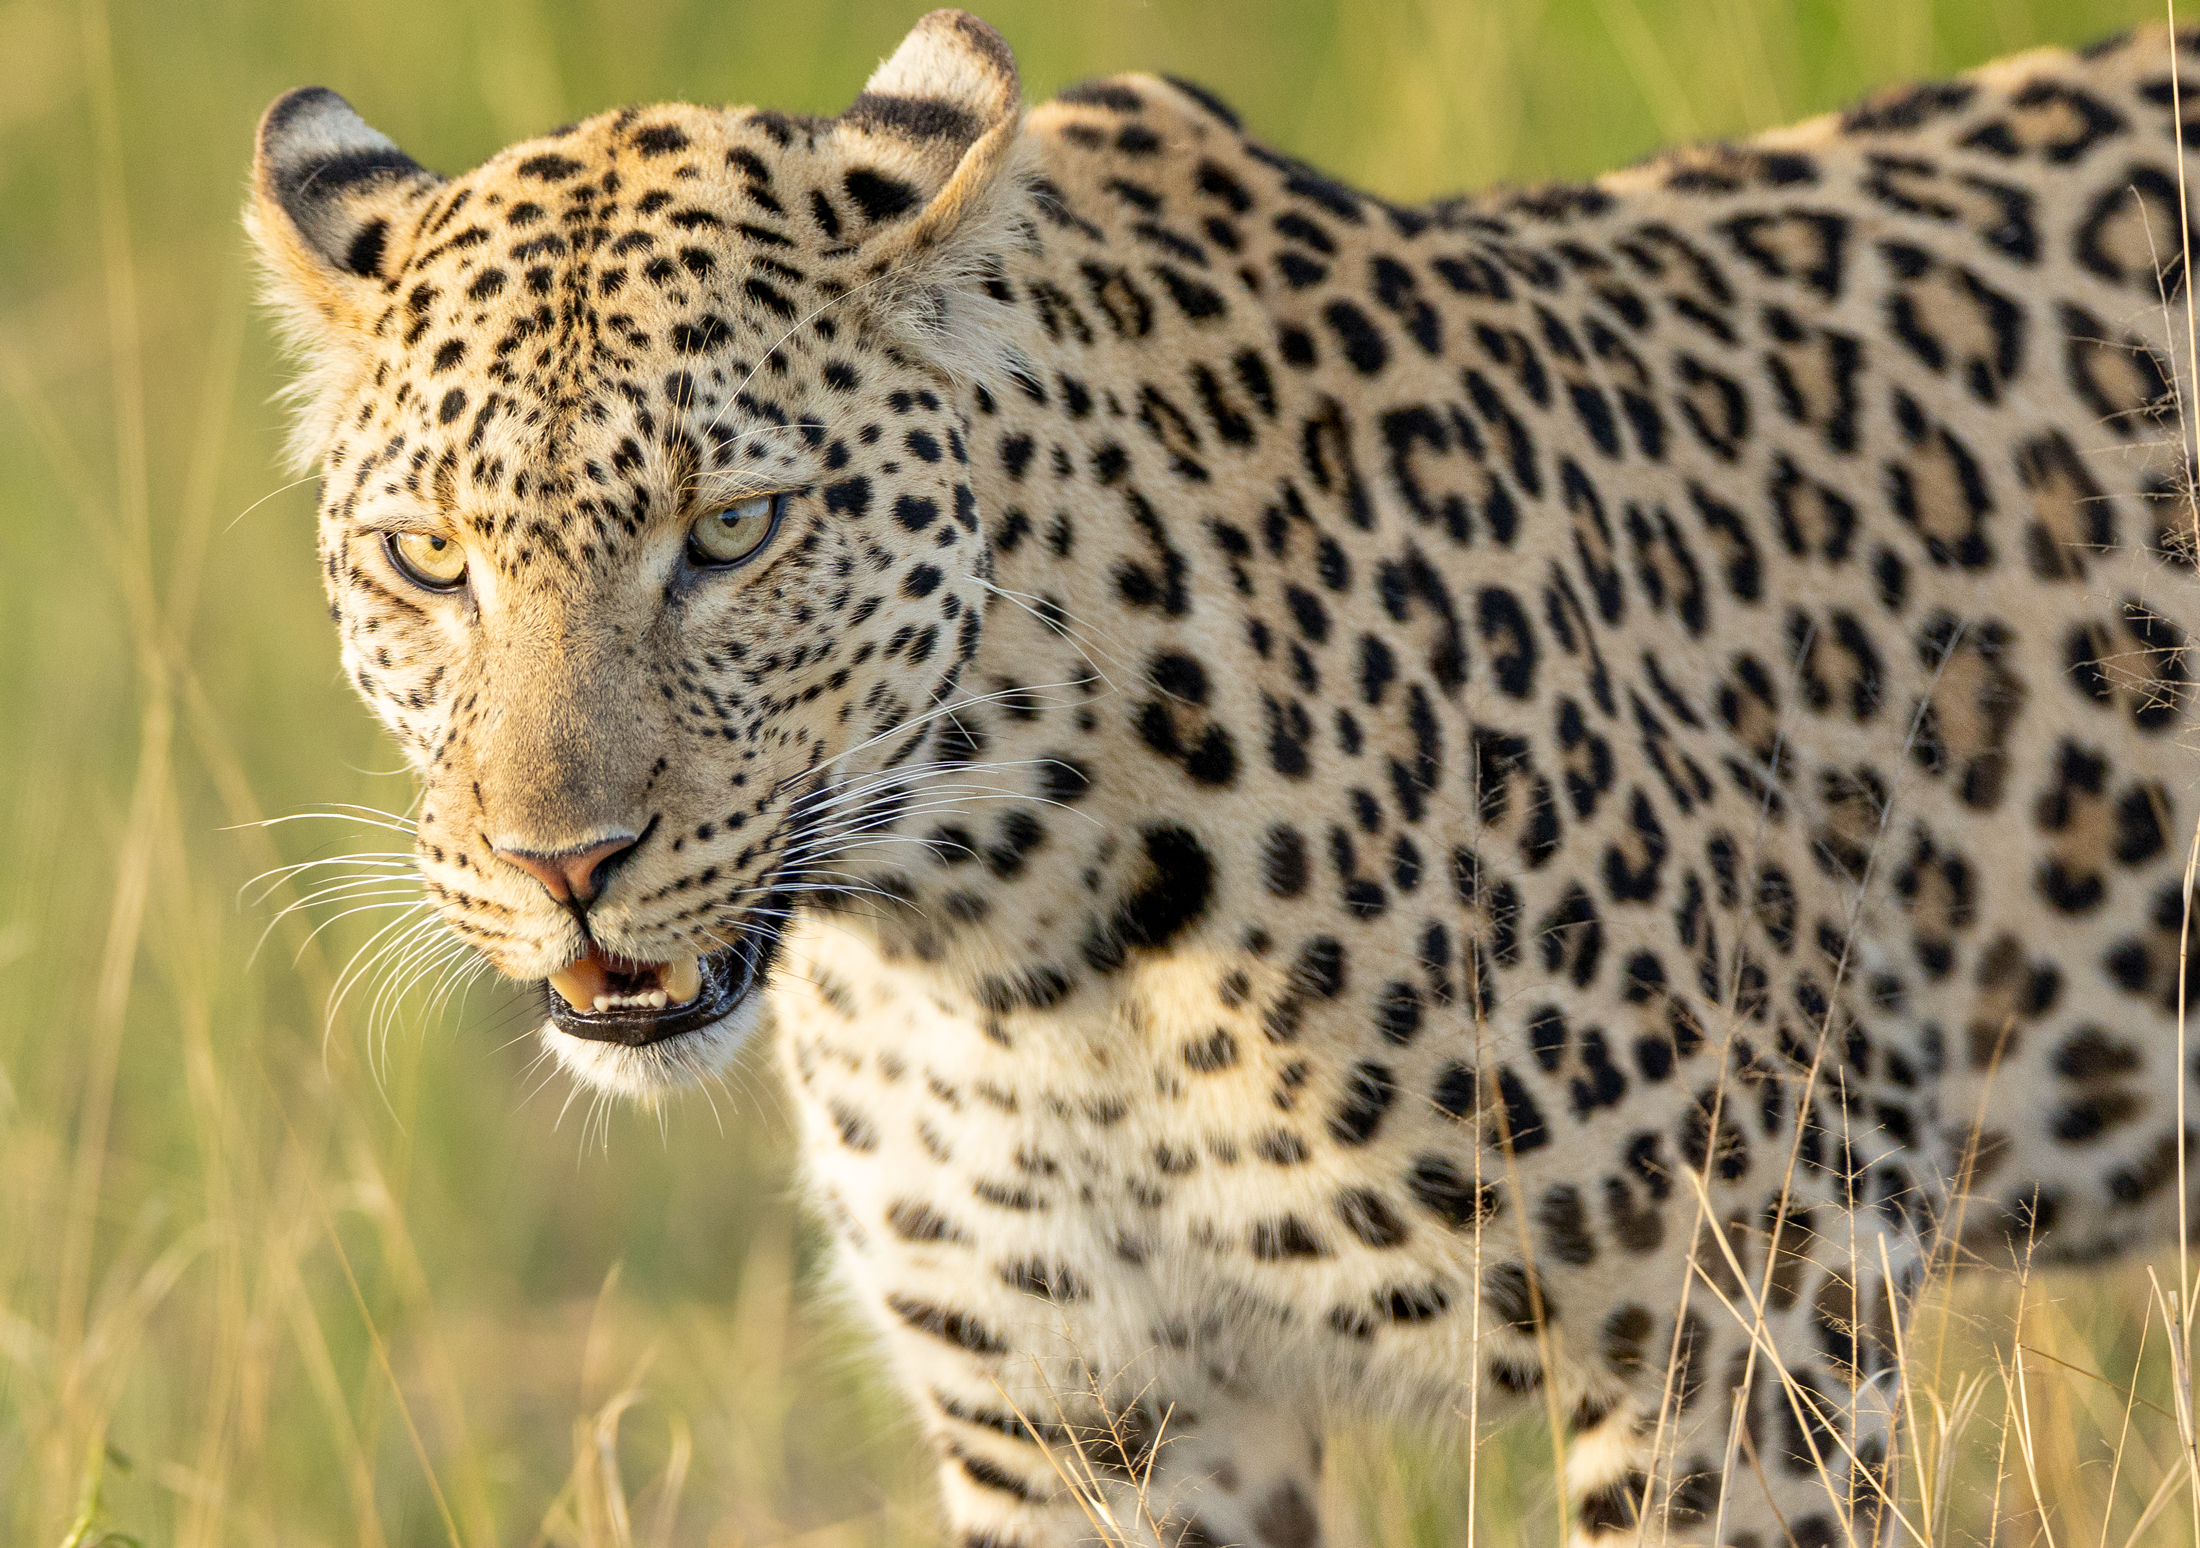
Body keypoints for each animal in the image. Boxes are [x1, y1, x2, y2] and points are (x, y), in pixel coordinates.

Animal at [248, 11, 2200, 1543]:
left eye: (733, 531)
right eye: (427, 559)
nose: (561, 861)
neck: (1007, 937)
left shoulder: (1745, 1308)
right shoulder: (1079, 1421)